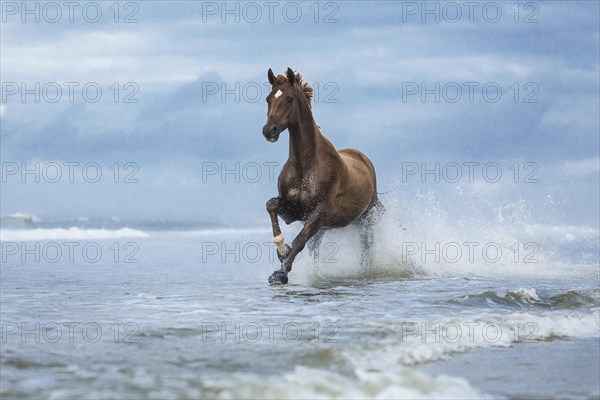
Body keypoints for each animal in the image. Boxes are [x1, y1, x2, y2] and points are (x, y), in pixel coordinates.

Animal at [262, 67, 380, 282]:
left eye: (290, 99)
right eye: (268, 98)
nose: (269, 131)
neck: (306, 164)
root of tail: (363, 158)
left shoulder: (320, 211)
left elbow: (300, 240)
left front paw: (280, 273)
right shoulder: (295, 210)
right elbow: (272, 205)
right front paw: (282, 250)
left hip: (366, 217)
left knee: (367, 245)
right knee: (315, 245)